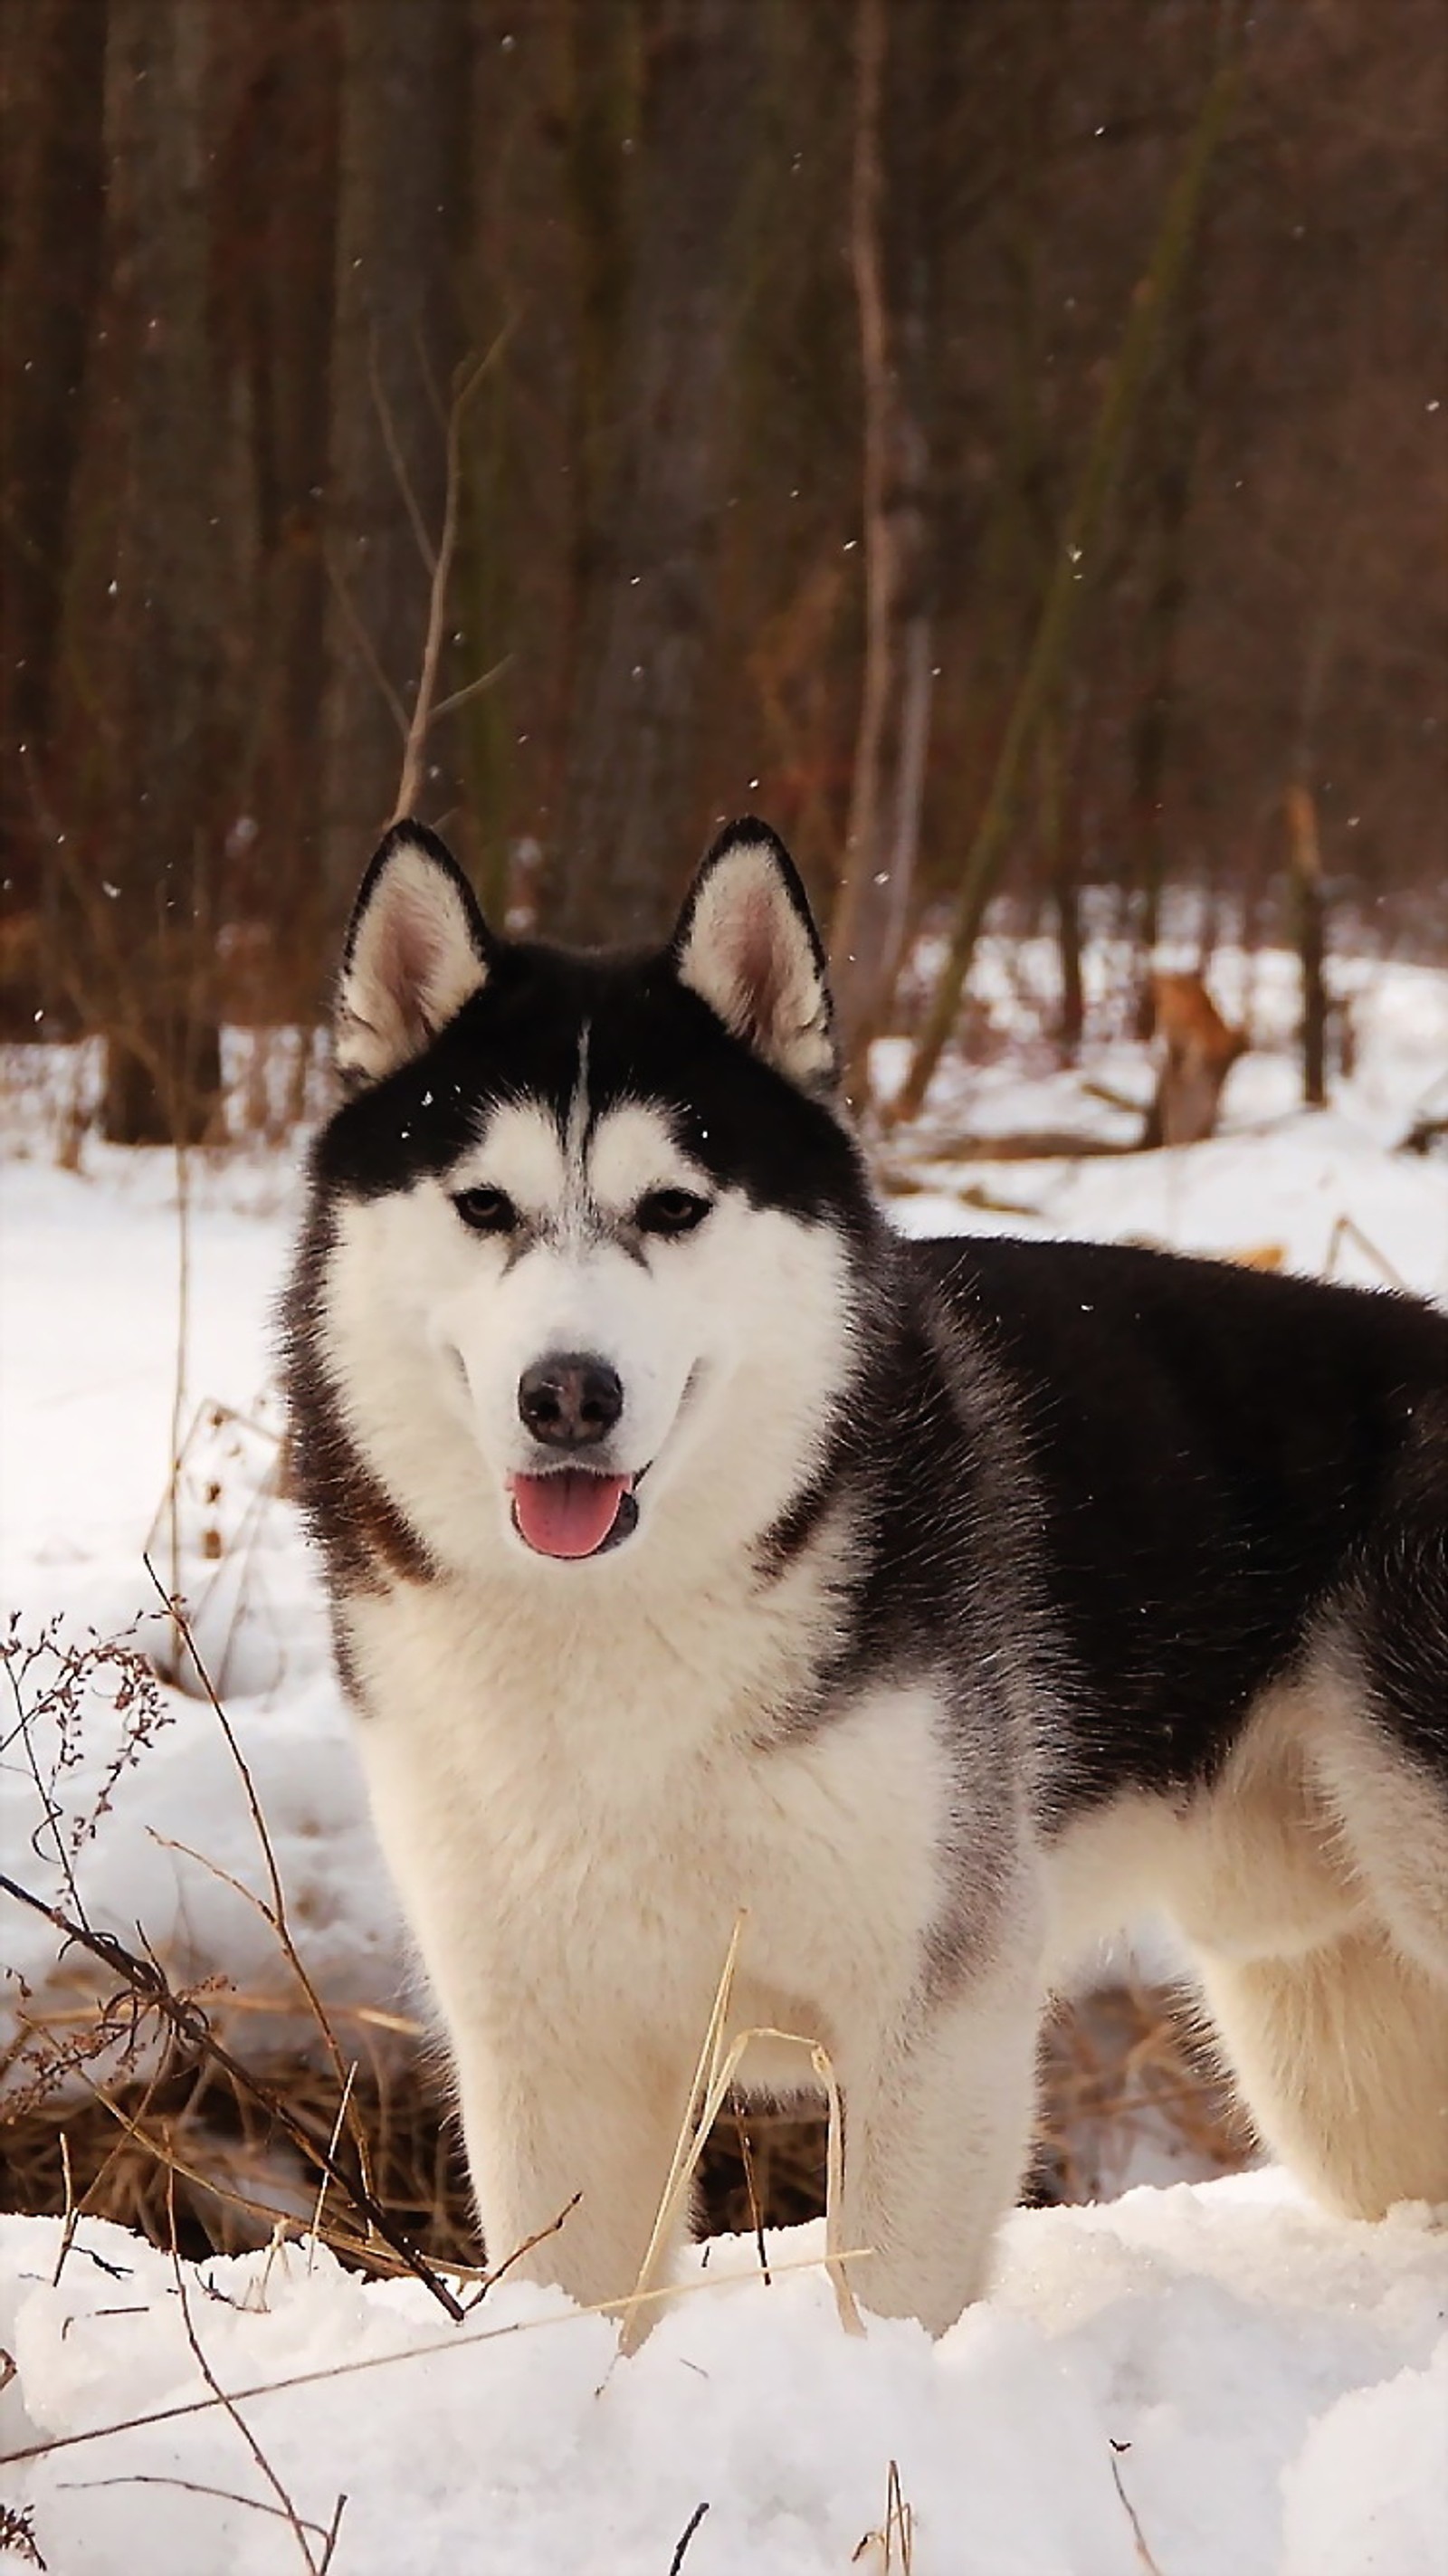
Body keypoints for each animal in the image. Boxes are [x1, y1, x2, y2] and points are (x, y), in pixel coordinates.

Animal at [281, 819, 1443, 2339]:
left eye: (675, 1205)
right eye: (483, 1204)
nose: (569, 1393)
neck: (622, 1625)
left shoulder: (933, 2008)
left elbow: (889, 2299)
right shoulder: (549, 2038)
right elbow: (578, 2302)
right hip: (1326, 2015)